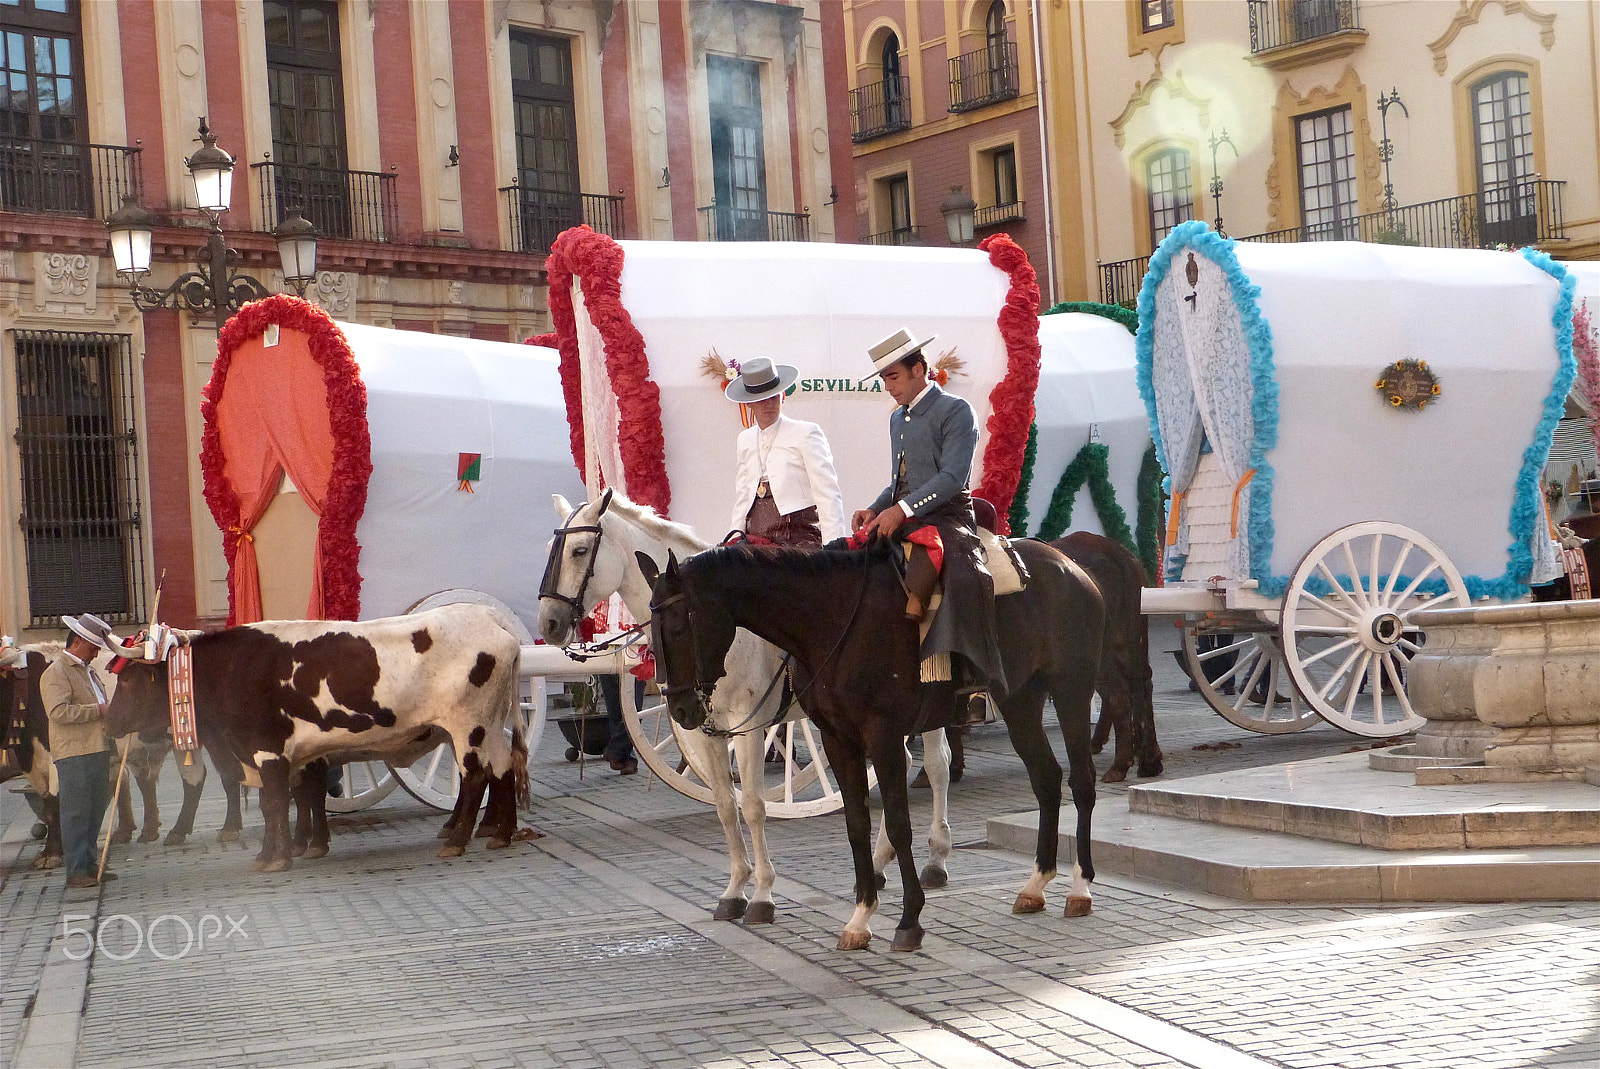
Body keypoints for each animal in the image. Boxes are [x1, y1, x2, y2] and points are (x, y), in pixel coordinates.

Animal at [103, 604, 528, 870]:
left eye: (128, 681)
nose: (107, 727)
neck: (233, 670)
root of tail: (488, 617)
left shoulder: (268, 752)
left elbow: (275, 804)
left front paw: (273, 858)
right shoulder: (292, 756)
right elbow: (298, 800)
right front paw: (297, 848)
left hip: (469, 725)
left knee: (475, 775)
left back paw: (459, 839)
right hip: (491, 725)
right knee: (504, 767)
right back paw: (501, 834)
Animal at [537, 489, 947, 921]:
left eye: (580, 550)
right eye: (550, 549)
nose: (549, 623)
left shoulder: (748, 727)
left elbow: (752, 806)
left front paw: (764, 893)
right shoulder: (705, 729)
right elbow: (724, 806)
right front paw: (735, 889)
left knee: (937, 765)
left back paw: (936, 859)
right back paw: (883, 861)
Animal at [636, 537, 1100, 953]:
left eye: (678, 626)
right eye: (649, 632)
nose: (680, 708)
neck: (831, 621)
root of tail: (1069, 563)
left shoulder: (879, 734)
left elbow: (895, 822)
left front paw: (909, 919)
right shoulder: (835, 738)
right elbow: (853, 822)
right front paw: (860, 917)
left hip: (1071, 690)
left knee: (1078, 781)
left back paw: (1079, 886)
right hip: (1020, 699)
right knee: (1046, 778)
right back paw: (1036, 883)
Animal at [1049, 531, 1164, 780]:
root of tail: (1117, 552)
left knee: (1119, 693)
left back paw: (1121, 763)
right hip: (1130, 645)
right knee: (1140, 686)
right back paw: (1148, 759)